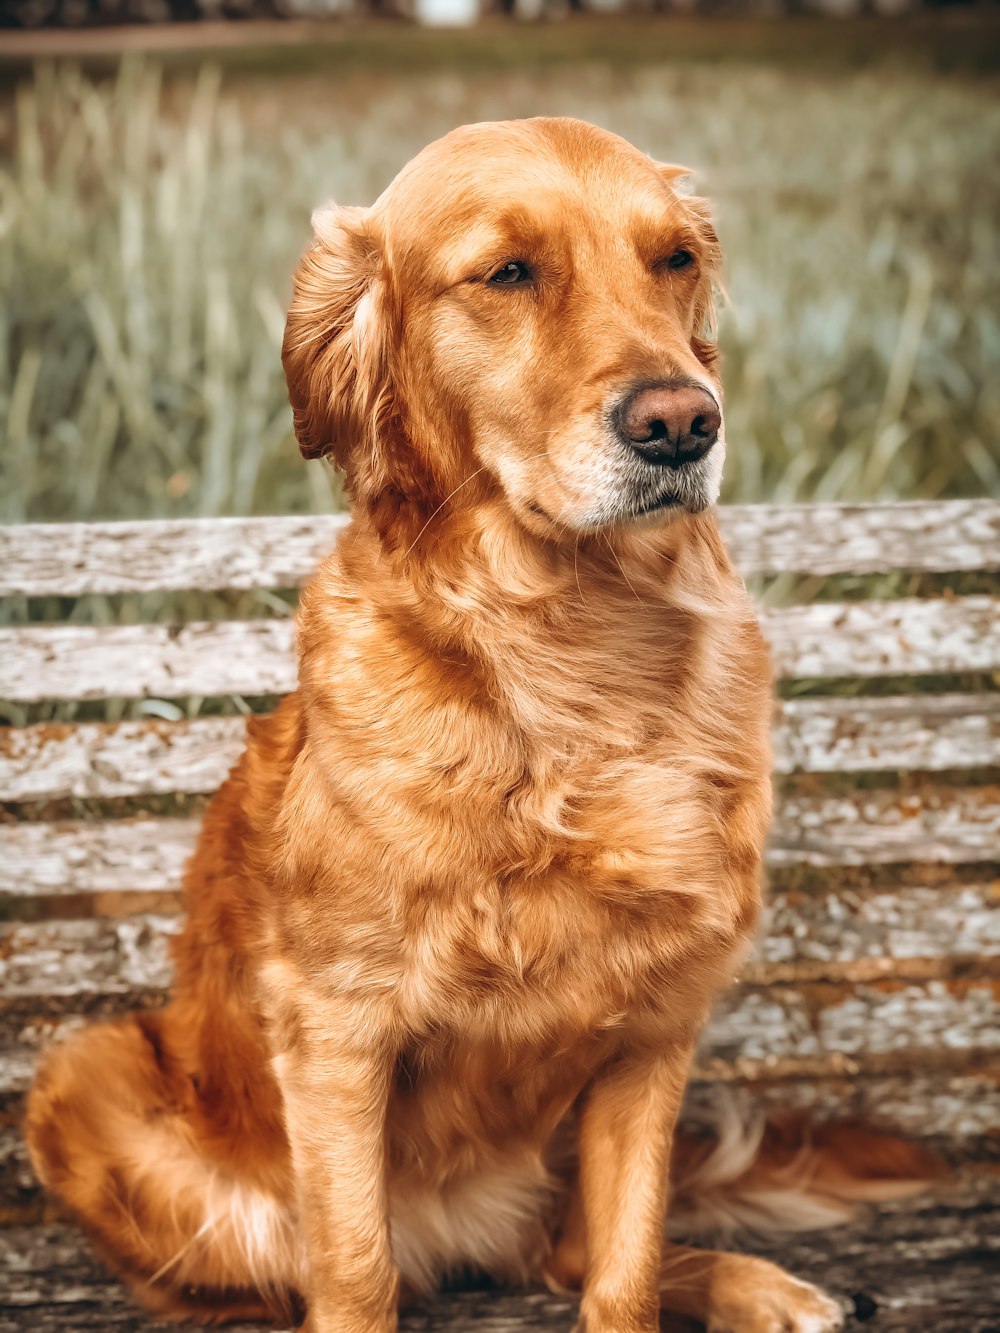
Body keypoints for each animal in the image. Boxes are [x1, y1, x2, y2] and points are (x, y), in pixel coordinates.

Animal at [25, 117, 933, 1333]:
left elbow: (625, 1266)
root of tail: (460, 1244)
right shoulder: (335, 1029)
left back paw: (762, 1285)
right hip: (87, 1077)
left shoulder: (655, 1028)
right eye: (507, 273)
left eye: (673, 259)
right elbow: (354, 1272)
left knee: (574, 1250)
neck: (572, 645)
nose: (683, 422)